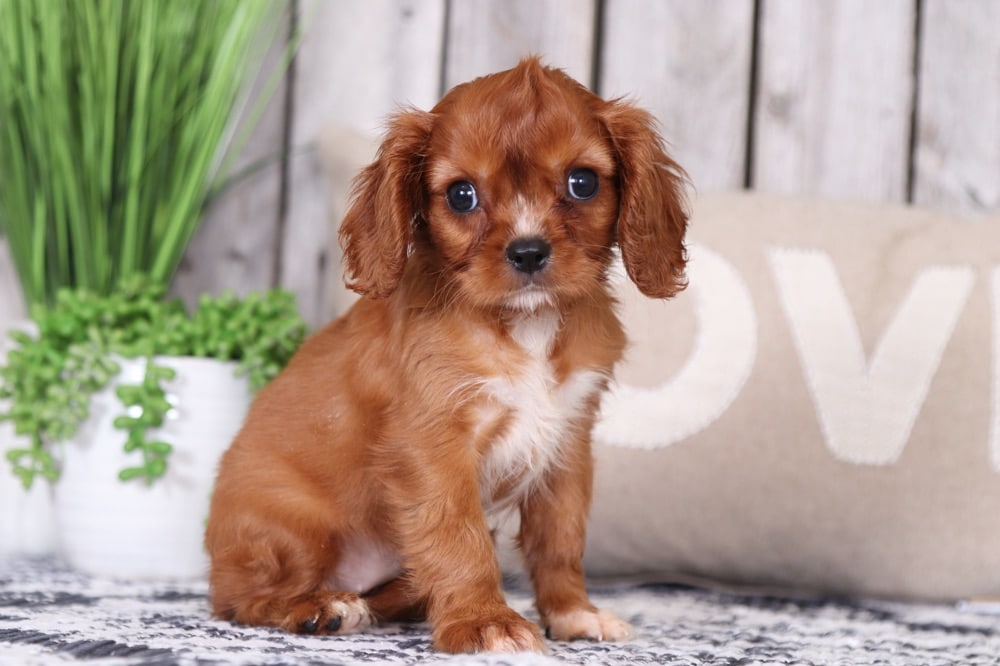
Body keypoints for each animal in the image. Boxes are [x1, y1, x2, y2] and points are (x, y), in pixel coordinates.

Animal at [203, 58, 688, 652]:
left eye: (583, 182)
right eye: (461, 195)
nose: (529, 252)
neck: (524, 324)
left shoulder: (567, 446)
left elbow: (560, 538)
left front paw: (573, 613)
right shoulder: (433, 449)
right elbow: (460, 539)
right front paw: (485, 621)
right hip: (293, 526)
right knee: (239, 600)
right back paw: (319, 607)